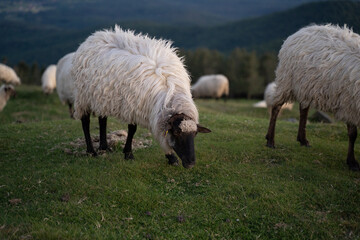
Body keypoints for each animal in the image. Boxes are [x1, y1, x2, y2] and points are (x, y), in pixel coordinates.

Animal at [72, 25, 211, 169]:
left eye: (195, 134)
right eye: (177, 132)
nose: (190, 163)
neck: (170, 92)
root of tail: (94, 36)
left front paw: (170, 157)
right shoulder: (132, 105)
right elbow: (132, 129)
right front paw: (129, 154)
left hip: (101, 96)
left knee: (102, 119)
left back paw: (104, 147)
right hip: (83, 95)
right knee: (85, 121)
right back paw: (91, 151)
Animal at [264, 24, 360, 171]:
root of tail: (300, 31)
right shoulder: (349, 103)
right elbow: (353, 134)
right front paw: (352, 162)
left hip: (306, 86)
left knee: (303, 110)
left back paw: (302, 140)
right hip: (287, 79)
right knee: (276, 107)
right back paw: (270, 140)